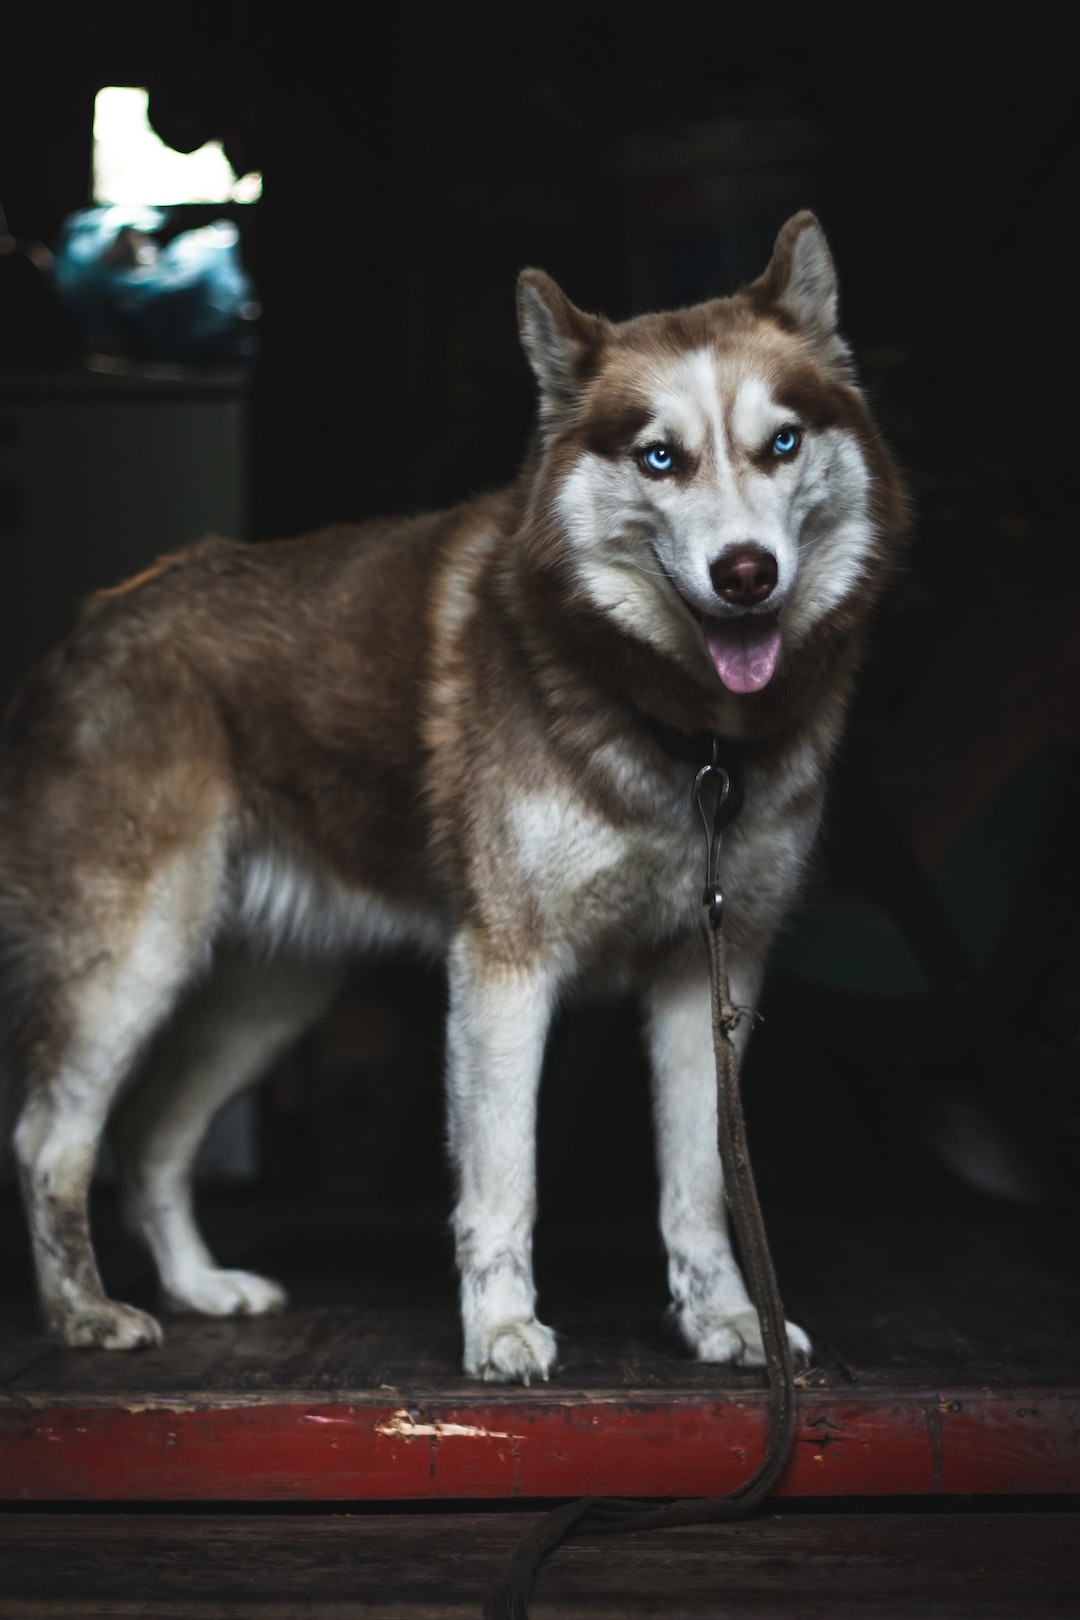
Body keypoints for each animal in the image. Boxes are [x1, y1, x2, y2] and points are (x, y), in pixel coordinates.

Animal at [2, 215, 906, 1380]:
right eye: (659, 457)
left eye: (783, 443)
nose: (745, 572)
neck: (690, 739)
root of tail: (88, 626)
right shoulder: (504, 971)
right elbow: (503, 1184)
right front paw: (504, 1329)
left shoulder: (711, 974)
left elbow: (703, 1186)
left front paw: (725, 1319)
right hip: (134, 960)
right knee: (52, 1142)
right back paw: (85, 1312)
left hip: (272, 995)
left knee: (152, 1134)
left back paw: (201, 1286)